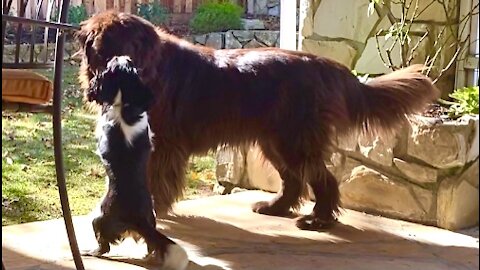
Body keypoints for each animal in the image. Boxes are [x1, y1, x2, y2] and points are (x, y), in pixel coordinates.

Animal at [76, 10, 438, 230]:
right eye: (101, 49)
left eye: (129, 46)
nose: (116, 71)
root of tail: (325, 64)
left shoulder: (163, 145)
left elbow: (153, 181)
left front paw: (149, 213)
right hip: (274, 141)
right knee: (294, 181)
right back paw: (275, 207)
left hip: (294, 139)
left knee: (322, 179)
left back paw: (317, 220)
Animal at [84, 56, 188, 268]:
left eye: (111, 63)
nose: (123, 56)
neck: (125, 106)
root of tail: (137, 218)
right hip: (152, 217)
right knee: (152, 243)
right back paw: (149, 256)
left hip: (98, 218)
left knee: (104, 245)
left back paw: (91, 252)